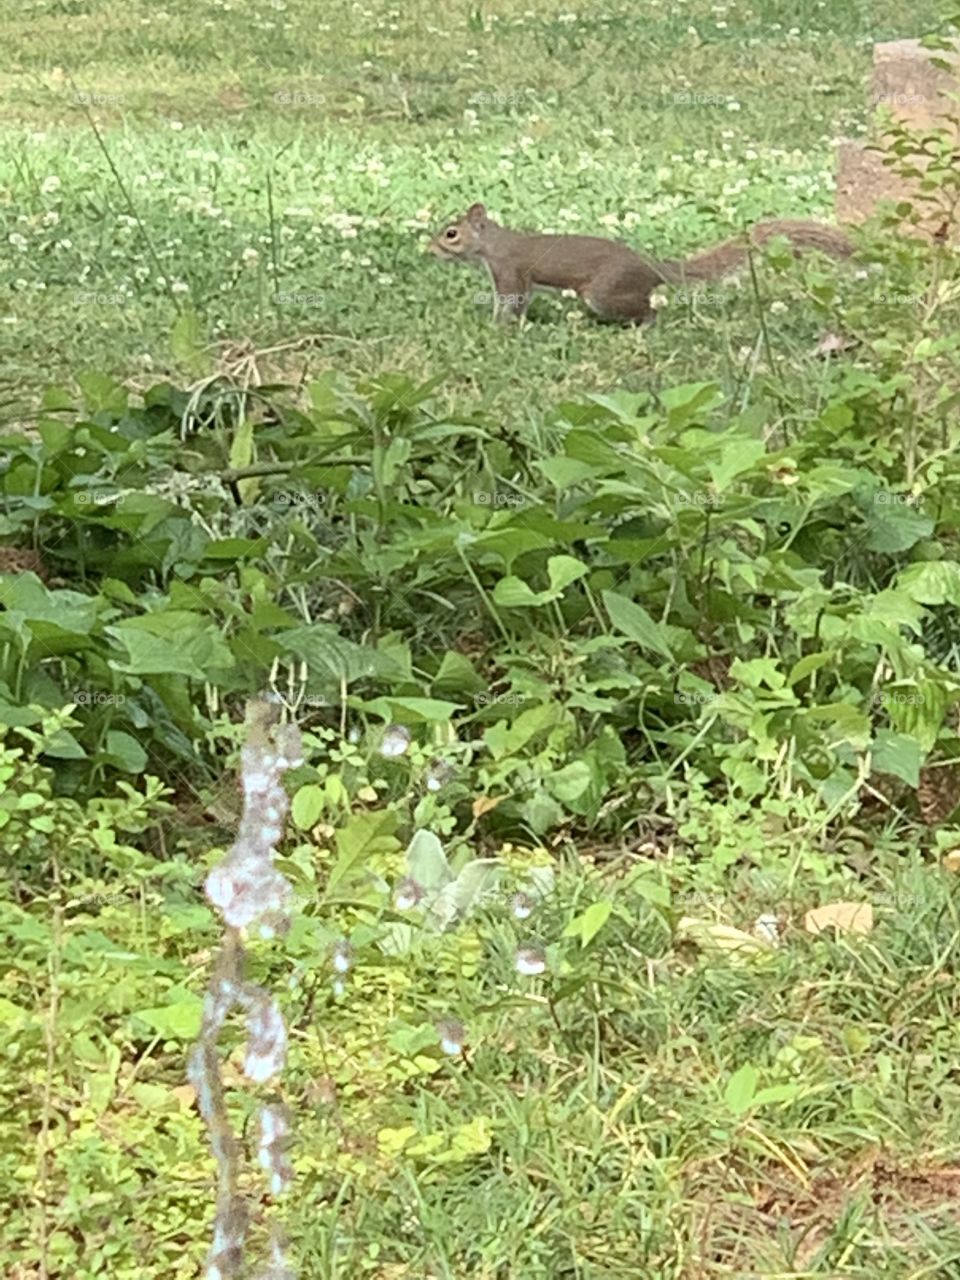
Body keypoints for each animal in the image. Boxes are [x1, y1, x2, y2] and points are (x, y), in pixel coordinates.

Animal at [428, 202, 853, 325]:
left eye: (451, 233)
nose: (430, 250)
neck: (493, 244)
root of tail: (651, 266)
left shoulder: (510, 272)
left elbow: (510, 302)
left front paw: (498, 328)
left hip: (603, 293)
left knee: (649, 310)